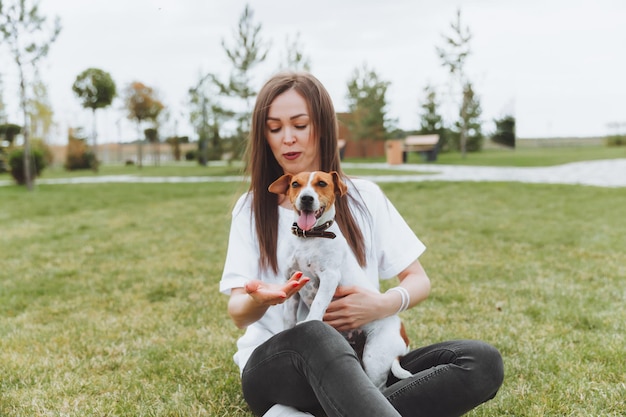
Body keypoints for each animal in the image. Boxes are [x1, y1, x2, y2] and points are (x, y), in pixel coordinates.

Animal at [266, 170, 410, 390]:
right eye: (295, 184)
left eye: (322, 183)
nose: (306, 198)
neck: (308, 238)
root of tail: (404, 340)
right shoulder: (293, 279)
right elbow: (289, 315)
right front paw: (288, 330)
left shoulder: (330, 276)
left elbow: (318, 303)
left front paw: (311, 321)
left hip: (374, 359)